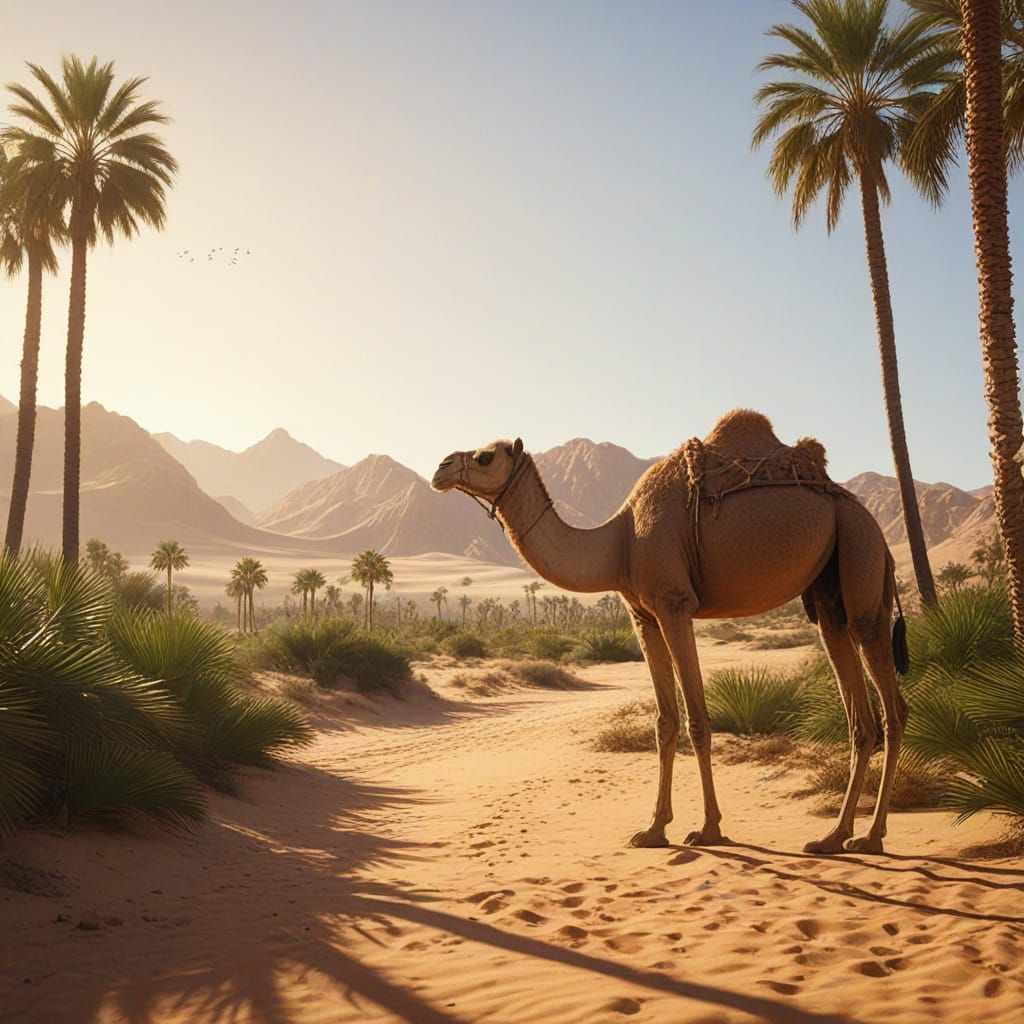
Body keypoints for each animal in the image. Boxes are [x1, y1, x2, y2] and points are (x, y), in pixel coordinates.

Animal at [431, 410, 909, 855]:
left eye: (485, 456)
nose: (441, 467)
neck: (618, 542)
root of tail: (868, 519)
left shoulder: (675, 604)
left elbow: (697, 719)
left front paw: (709, 829)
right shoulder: (642, 615)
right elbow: (664, 720)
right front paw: (653, 830)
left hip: (861, 550)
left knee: (891, 702)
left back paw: (871, 837)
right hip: (829, 594)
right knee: (859, 715)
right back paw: (833, 836)